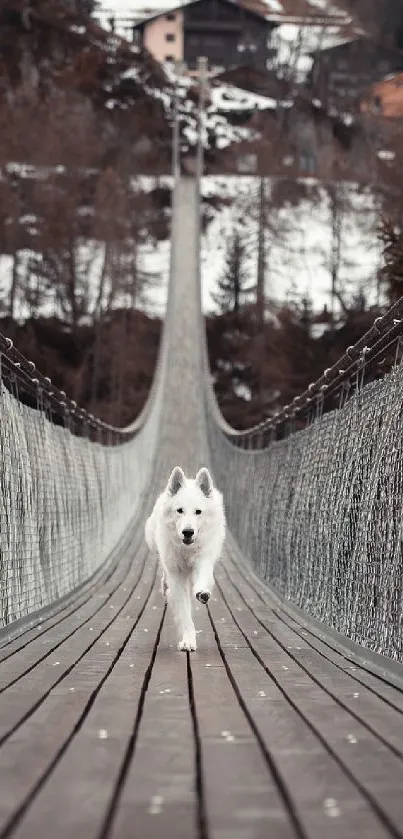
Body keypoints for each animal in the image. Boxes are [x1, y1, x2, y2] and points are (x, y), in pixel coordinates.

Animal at [145, 470, 227, 652]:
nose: (188, 532)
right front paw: (188, 641)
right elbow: (184, 614)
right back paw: (165, 587)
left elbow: (202, 580)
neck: (186, 550)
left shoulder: (203, 559)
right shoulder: (177, 576)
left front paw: (202, 592)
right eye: (180, 511)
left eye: (198, 512)